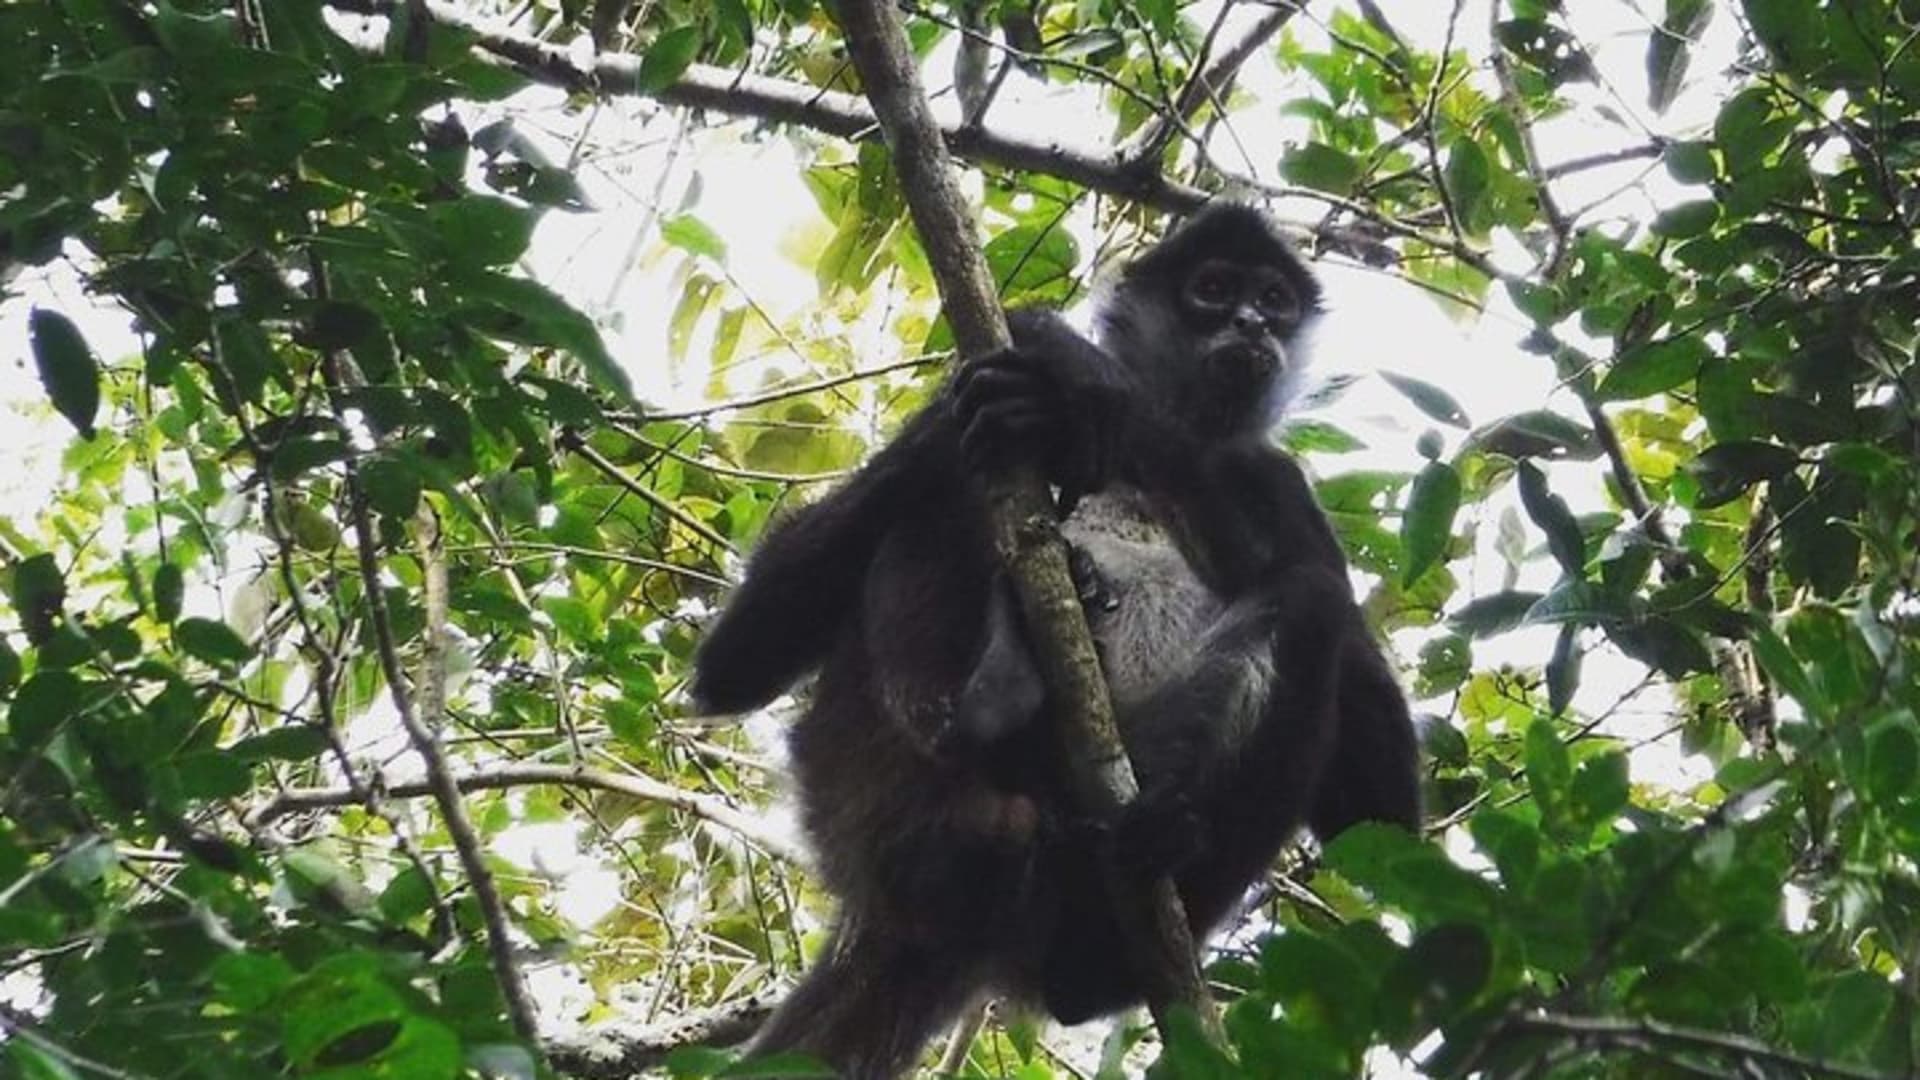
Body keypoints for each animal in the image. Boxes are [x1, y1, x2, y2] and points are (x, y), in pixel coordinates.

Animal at [690, 203, 1421, 1078]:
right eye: (1213, 290)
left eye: (1274, 300)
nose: (1250, 323)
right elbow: (735, 664)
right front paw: (1052, 355)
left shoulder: (1276, 480)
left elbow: (1383, 814)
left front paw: (1085, 380)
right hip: (864, 774)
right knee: (942, 501)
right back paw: (1004, 699)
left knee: (1309, 600)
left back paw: (1109, 911)